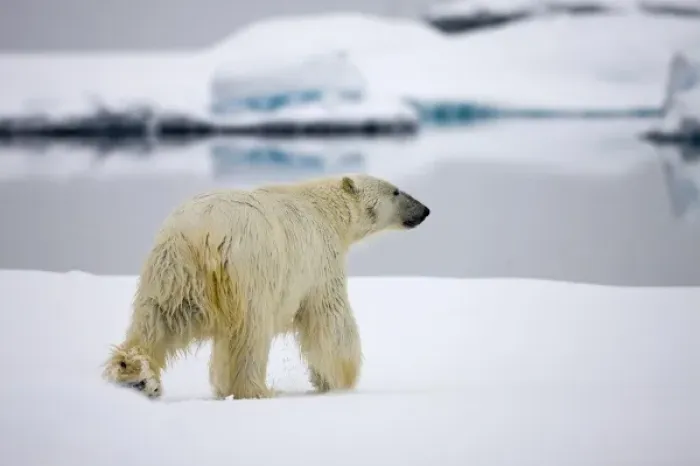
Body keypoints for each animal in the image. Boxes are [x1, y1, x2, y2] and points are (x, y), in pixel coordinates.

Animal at [102, 173, 430, 400]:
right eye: (395, 190)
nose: (425, 209)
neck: (325, 209)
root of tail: (201, 233)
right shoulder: (319, 261)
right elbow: (330, 320)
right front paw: (341, 378)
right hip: (250, 271)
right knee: (250, 334)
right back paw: (256, 389)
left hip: (172, 269)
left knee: (158, 319)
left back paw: (136, 375)